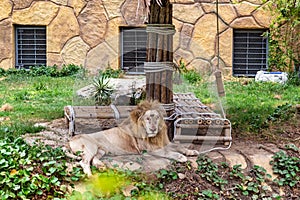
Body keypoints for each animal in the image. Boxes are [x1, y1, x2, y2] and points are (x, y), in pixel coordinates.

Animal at [69, 101, 198, 176]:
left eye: (156, 118)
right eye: (147, 119)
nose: (153, 129)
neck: (154, 137)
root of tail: (70, 140)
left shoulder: (163, 143)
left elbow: (178, 145)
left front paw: (191, 151)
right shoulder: (149, 150)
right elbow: (168, 152)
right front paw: (181, 157)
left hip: (101, 150)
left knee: (94, 160)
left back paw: (101, 167)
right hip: (91, 147)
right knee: (84, 162)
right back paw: (91, 177)